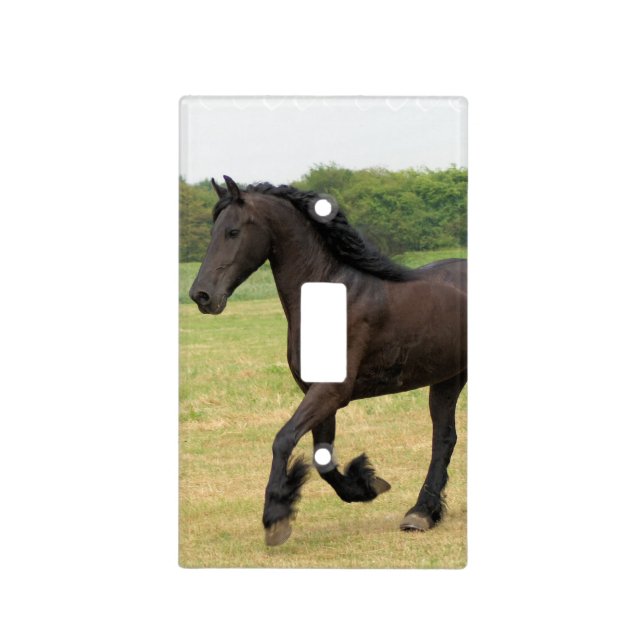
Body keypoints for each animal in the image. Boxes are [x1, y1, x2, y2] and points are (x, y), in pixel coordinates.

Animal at [189, 175, 467, 546]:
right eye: (213, 231)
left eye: (232, 232)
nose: (201, 296)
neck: (332, 296)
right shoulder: (319, 394)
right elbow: (324, 461)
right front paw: (366, 484)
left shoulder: (330, 392)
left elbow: (283, 439)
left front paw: (276, 517)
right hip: (447, 377)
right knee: (444, 438)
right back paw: (421, 513)